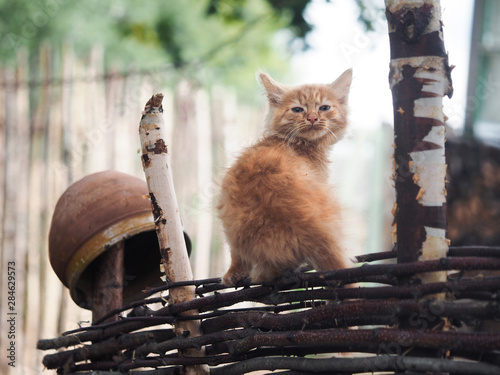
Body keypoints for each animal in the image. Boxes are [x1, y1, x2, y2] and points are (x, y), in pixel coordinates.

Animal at [218, 70, 352, 286]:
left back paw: (237, 275)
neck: (297, 144)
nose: (313, 118)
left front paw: (233, 274)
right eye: (297, 109)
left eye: (324, 108)